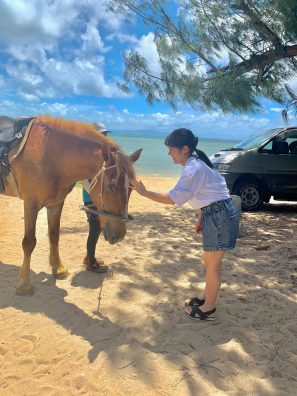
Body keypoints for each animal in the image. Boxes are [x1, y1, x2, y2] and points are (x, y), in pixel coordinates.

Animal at [2, 114, 141, 294]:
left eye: (131, 188)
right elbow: (29, 242)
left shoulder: (56, 203)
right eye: (111, 186)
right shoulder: (30, 203)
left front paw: (58, 268)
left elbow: (54, 235)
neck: (50, 155)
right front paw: (24, 284)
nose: (119, 236)